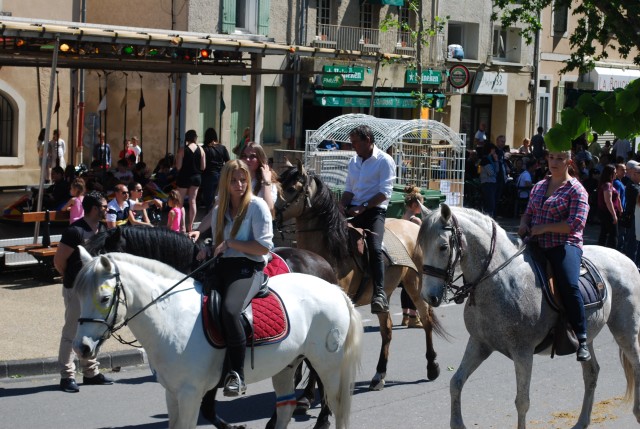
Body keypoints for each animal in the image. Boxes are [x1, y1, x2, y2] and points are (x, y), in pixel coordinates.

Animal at [72, 247, 362, 428]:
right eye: (79, 296)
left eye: (104, 298)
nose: (81, 348)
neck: (172, 315)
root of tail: (334, 288)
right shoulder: (172, 392)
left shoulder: (190, 392)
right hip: (287, 365)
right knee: (285, 408)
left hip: (328, 365)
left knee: (334, 402)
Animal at [276, 160, 444, 388]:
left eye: (292, 188)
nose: (272, 213)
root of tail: (414, 226)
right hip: (385, 293)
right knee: (387, 329)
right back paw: (379, 374)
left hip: (416, 286)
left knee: (426, 320)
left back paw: (432, 366)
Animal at [418, 204, 640, 428]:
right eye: (421, 245)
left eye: (443, 247)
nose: (428, 296)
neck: (500, 279)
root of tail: (625, 258)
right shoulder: (479, 343)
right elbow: (456, 383)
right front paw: (457, 423)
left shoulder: (522, 352)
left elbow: (522, 401)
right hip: (589, 335)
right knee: (591, 373)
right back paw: (582, 422)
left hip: (625, 331)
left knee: (635, 365)